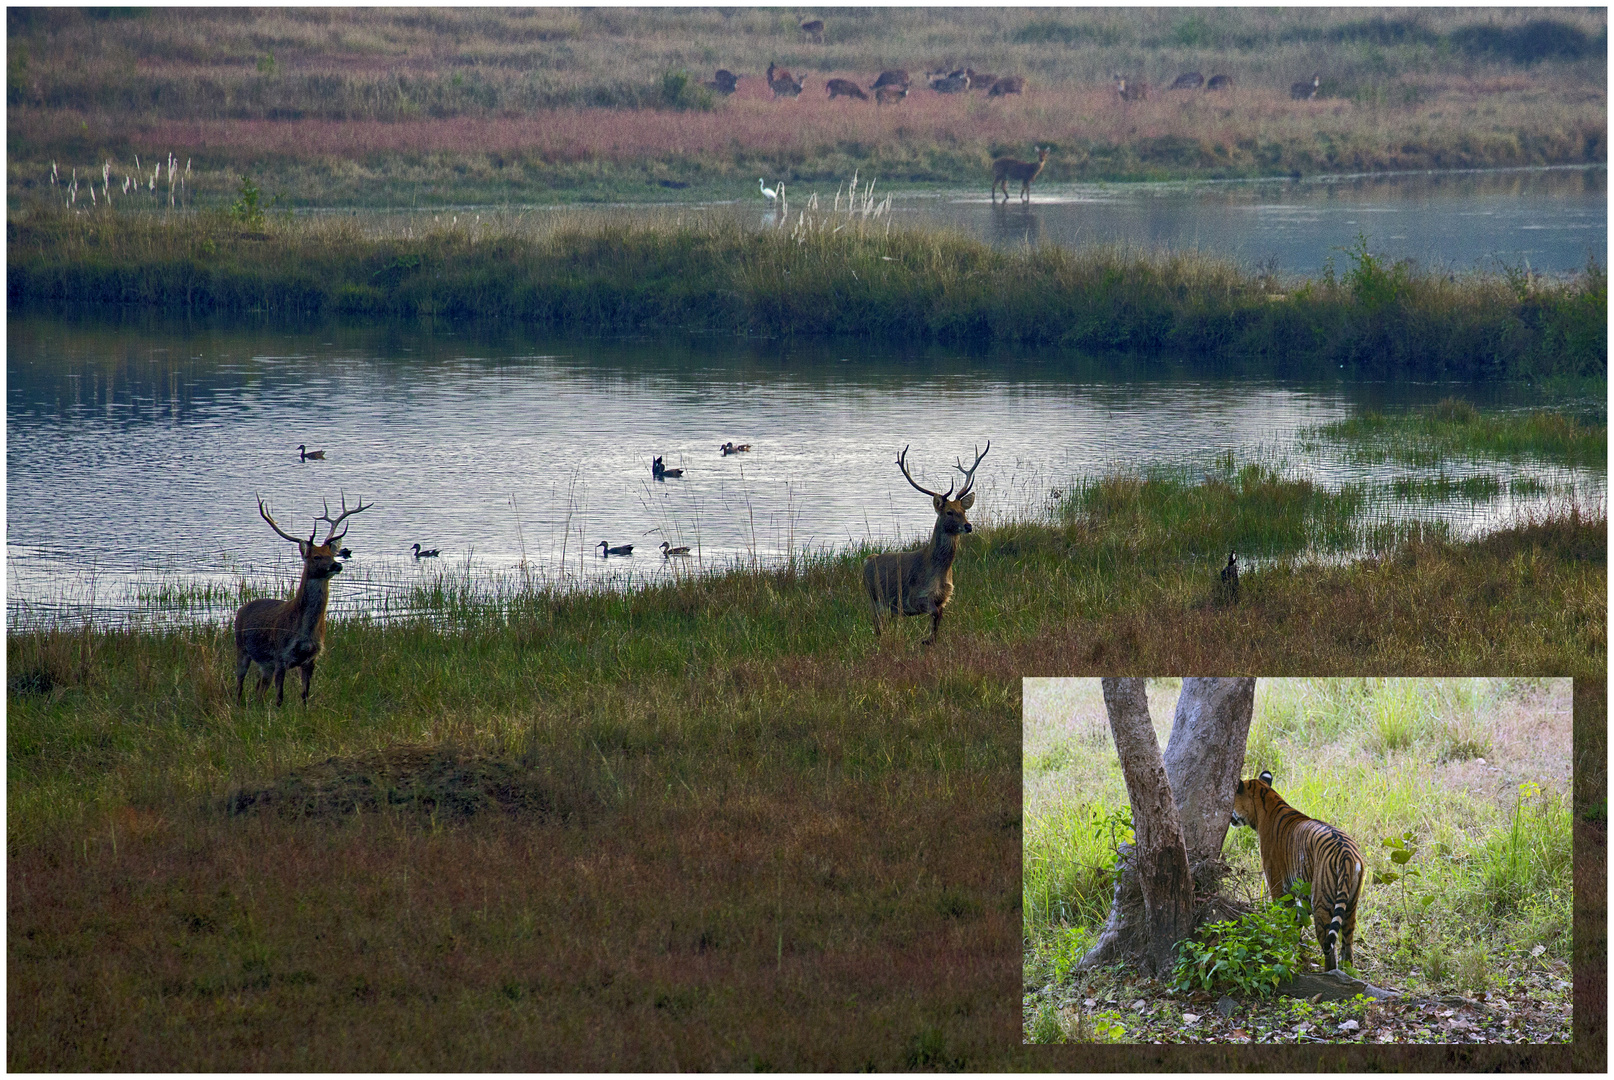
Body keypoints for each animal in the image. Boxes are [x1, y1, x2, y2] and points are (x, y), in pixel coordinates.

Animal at [235, 493, 369, 703]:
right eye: (316, 557)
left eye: (331, 554)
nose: (337, 565)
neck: (303, 631)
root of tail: (242, 608)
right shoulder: (281, 655)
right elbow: (279, 698)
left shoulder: (312, 658)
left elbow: (305, 695)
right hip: (241, 647)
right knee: (239, 685)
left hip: (265, 664)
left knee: (259, 688)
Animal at [865, 439, 987, 645]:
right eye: (949, 512)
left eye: (964, 511)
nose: (968, 526)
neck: (938, 573)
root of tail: (867, 561)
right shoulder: (916, 597)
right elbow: (934, 614)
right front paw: (925, 640)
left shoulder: (944, 598)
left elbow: (937, 621)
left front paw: (930, 641)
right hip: (875, 601)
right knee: (877, 628)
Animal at [1233, 765, 1362, 968]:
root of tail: (1348, 854)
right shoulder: (1302, 893)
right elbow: (1297, 920)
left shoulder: (1278, 885)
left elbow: (1283, 919)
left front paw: (1283, 947)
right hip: (1351, 905)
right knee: (1347, 948)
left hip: (1322, 902)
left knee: (1329, 948)